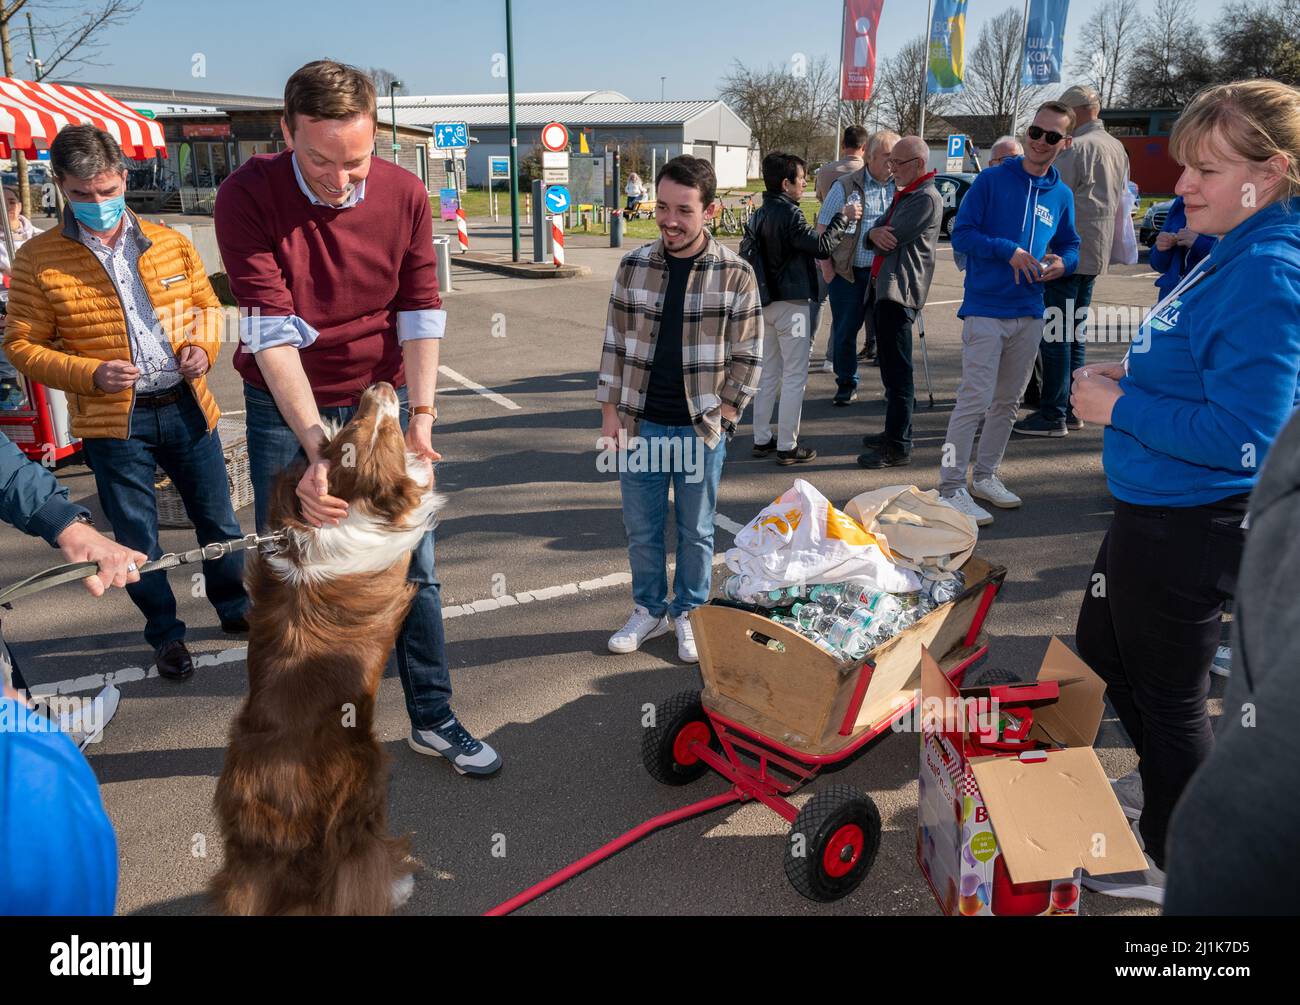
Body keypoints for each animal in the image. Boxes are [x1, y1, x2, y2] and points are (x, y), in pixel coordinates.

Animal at [209, 379, 441, 915]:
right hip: (365, 781)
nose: (381, 386)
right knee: (354, 869)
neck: (350, 500)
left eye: (359, 424)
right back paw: (398, 885)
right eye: (381, 432)